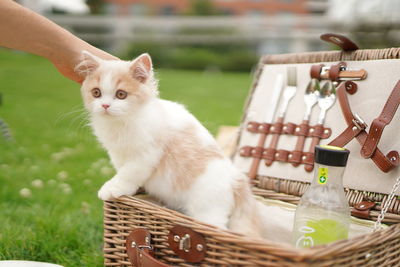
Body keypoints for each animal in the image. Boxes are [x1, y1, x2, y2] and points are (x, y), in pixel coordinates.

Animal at [77, 51, 268, 239]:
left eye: (121, 94)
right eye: (96, 93)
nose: (105, 105)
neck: (121, 123)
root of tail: (236, 179)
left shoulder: (146, 154)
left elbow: (128, 174)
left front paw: (113, 187)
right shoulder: (117, 154)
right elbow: (124, 170)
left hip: (206, 208)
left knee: (219, 228)